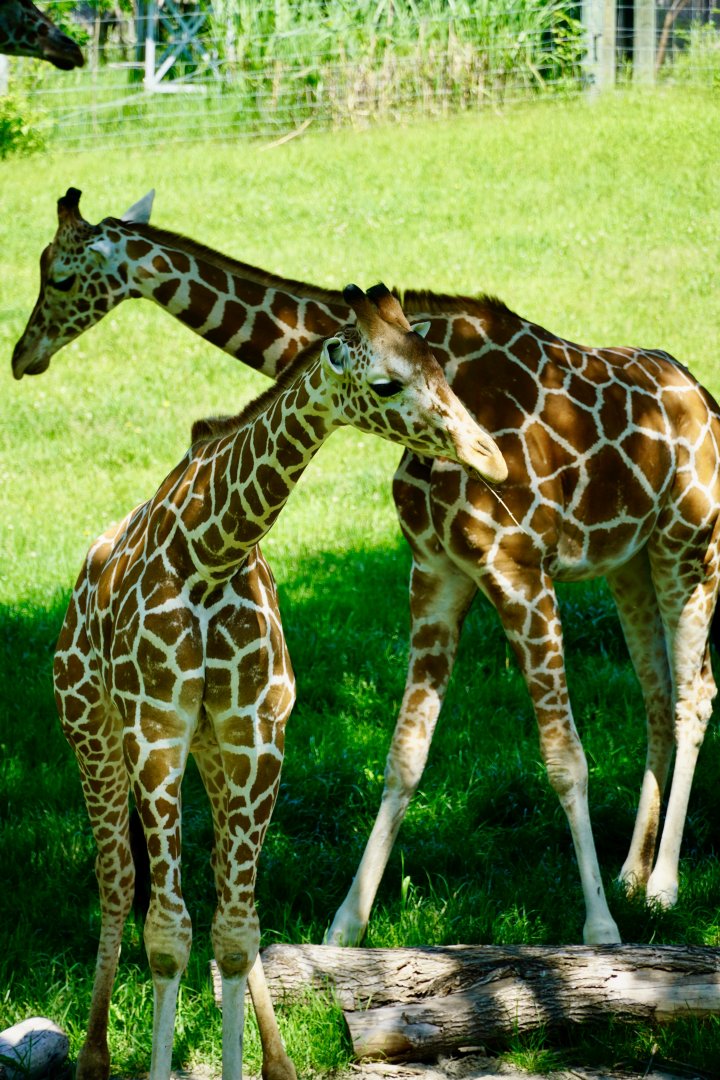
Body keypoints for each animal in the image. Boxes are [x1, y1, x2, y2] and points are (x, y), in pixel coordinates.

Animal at [13, 188, 720, 944]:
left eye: (60, 276)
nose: (24, 355)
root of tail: (705, 398)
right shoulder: (438, 569)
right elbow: (404, 756)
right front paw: (345, 926)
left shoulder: (518, 566)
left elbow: (565, 759)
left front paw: (599, 932)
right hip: (630, 563)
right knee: (656, 693)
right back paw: (633, 874)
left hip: (689, 543)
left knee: (693, 694)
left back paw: (665, 887)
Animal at [53, 281, 506, 1080]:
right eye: (386, 384)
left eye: (441, 367)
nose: (492, 458)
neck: (212, 553)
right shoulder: (156, 733)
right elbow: (166, 932)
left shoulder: (256, 738)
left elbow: (237, 929)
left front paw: (261, 1063)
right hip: (94, 733)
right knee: (118, 883)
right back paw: (95, 1056)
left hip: (210, 754)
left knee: (218, 893)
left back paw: (277, 1058)